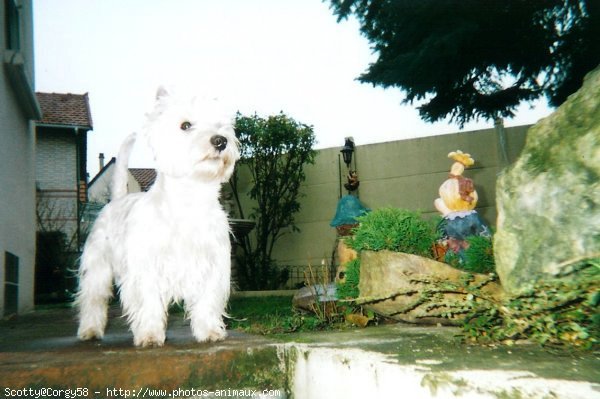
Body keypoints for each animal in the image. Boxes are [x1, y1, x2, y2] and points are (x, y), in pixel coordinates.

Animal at [77, 86, 239, 346]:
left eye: (220, 125)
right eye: (185, 125)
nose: (220, 141)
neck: (190, 199)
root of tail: (117, 199)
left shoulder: (211, 264)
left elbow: (206, 299)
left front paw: (209, 332)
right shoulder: (146, 268)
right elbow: (149, 301)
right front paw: (150, 335)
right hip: (98, 267)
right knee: (93, 298)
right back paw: (90, 330)